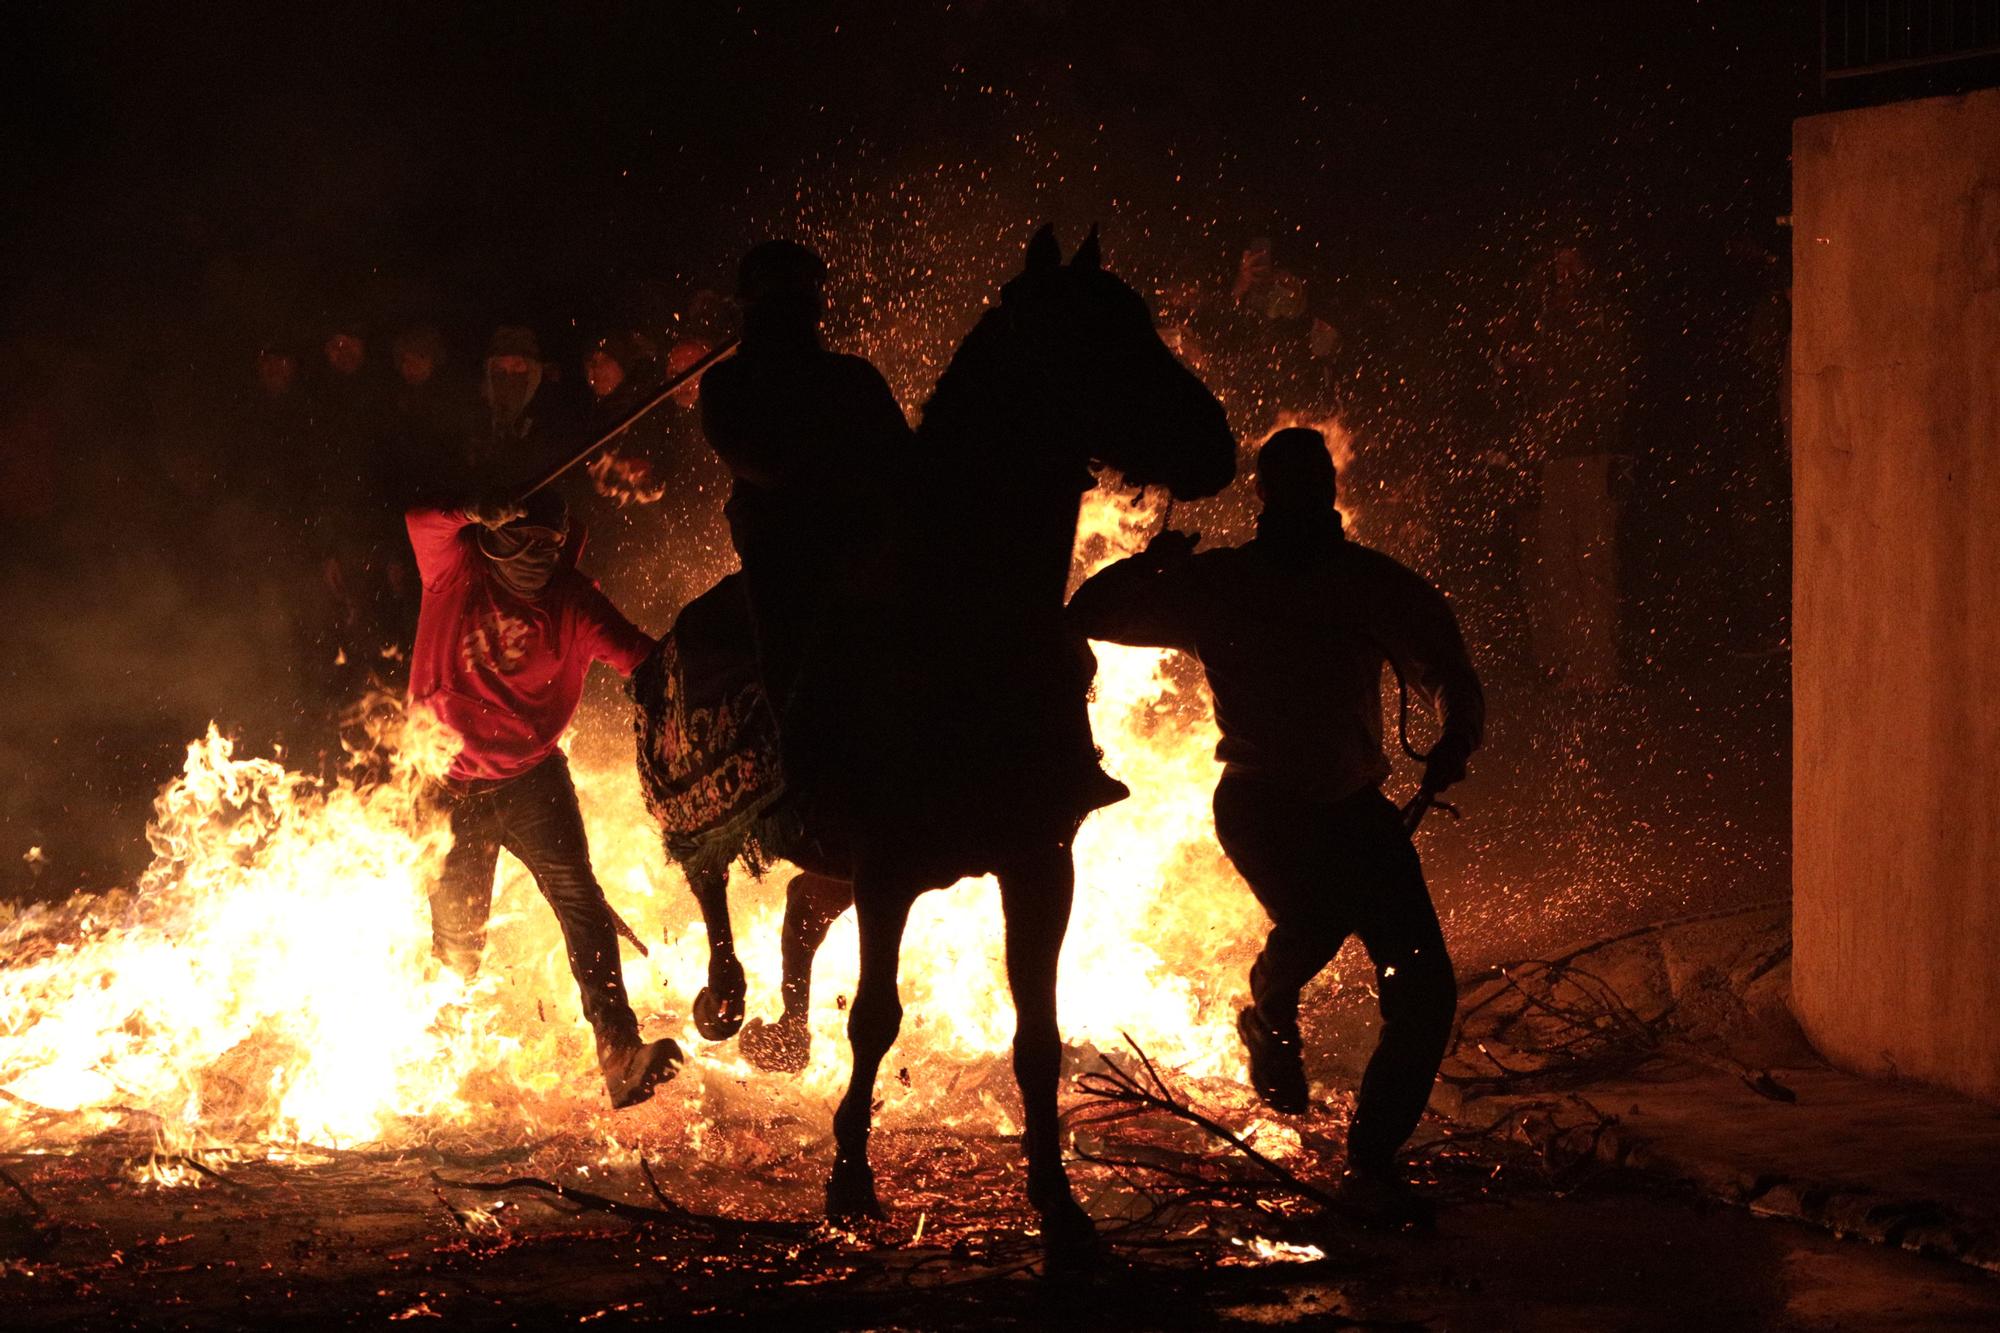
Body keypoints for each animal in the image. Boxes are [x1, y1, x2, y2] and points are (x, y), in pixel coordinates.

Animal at [640, 228, 1232, 1256]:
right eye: (1094, 336)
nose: (1219, 443)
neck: (960, 626)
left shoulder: (1038, 858)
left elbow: (1037, 1038)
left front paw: (1059, 1203)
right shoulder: (888, 865)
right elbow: (876, 1019)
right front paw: (848, 1180)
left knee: (801, 906)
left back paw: (779, 1031)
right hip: (721, 820)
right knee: (712, 881)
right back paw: (726, 999)